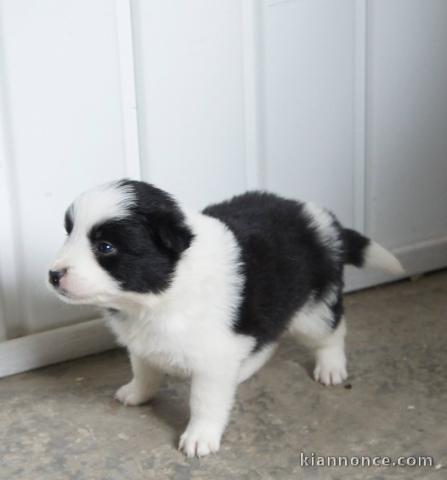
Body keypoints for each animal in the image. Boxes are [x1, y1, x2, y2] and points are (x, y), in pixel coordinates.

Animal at [49, 180, 406, 458]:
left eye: (105, 247)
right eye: (69, 234)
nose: (53, 275)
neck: (157, 296)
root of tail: (321, 218)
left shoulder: (213, 357)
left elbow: (204, 401)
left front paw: (200, 437)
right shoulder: (145, 343)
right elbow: (144, 370)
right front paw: (137, 393)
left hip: (313, 309)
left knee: (332, 331)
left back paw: (331, 367)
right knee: (267, 340)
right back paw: (243, 372)